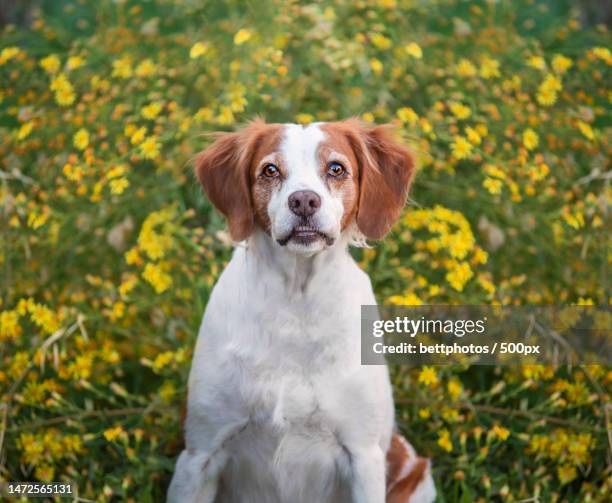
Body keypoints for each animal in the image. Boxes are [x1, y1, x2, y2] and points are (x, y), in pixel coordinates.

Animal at [167, 119, 436, 503]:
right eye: (270, 170)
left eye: (336, 168)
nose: (304, 200)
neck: (295, 303)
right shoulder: (200, 454)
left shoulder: (364, 456)